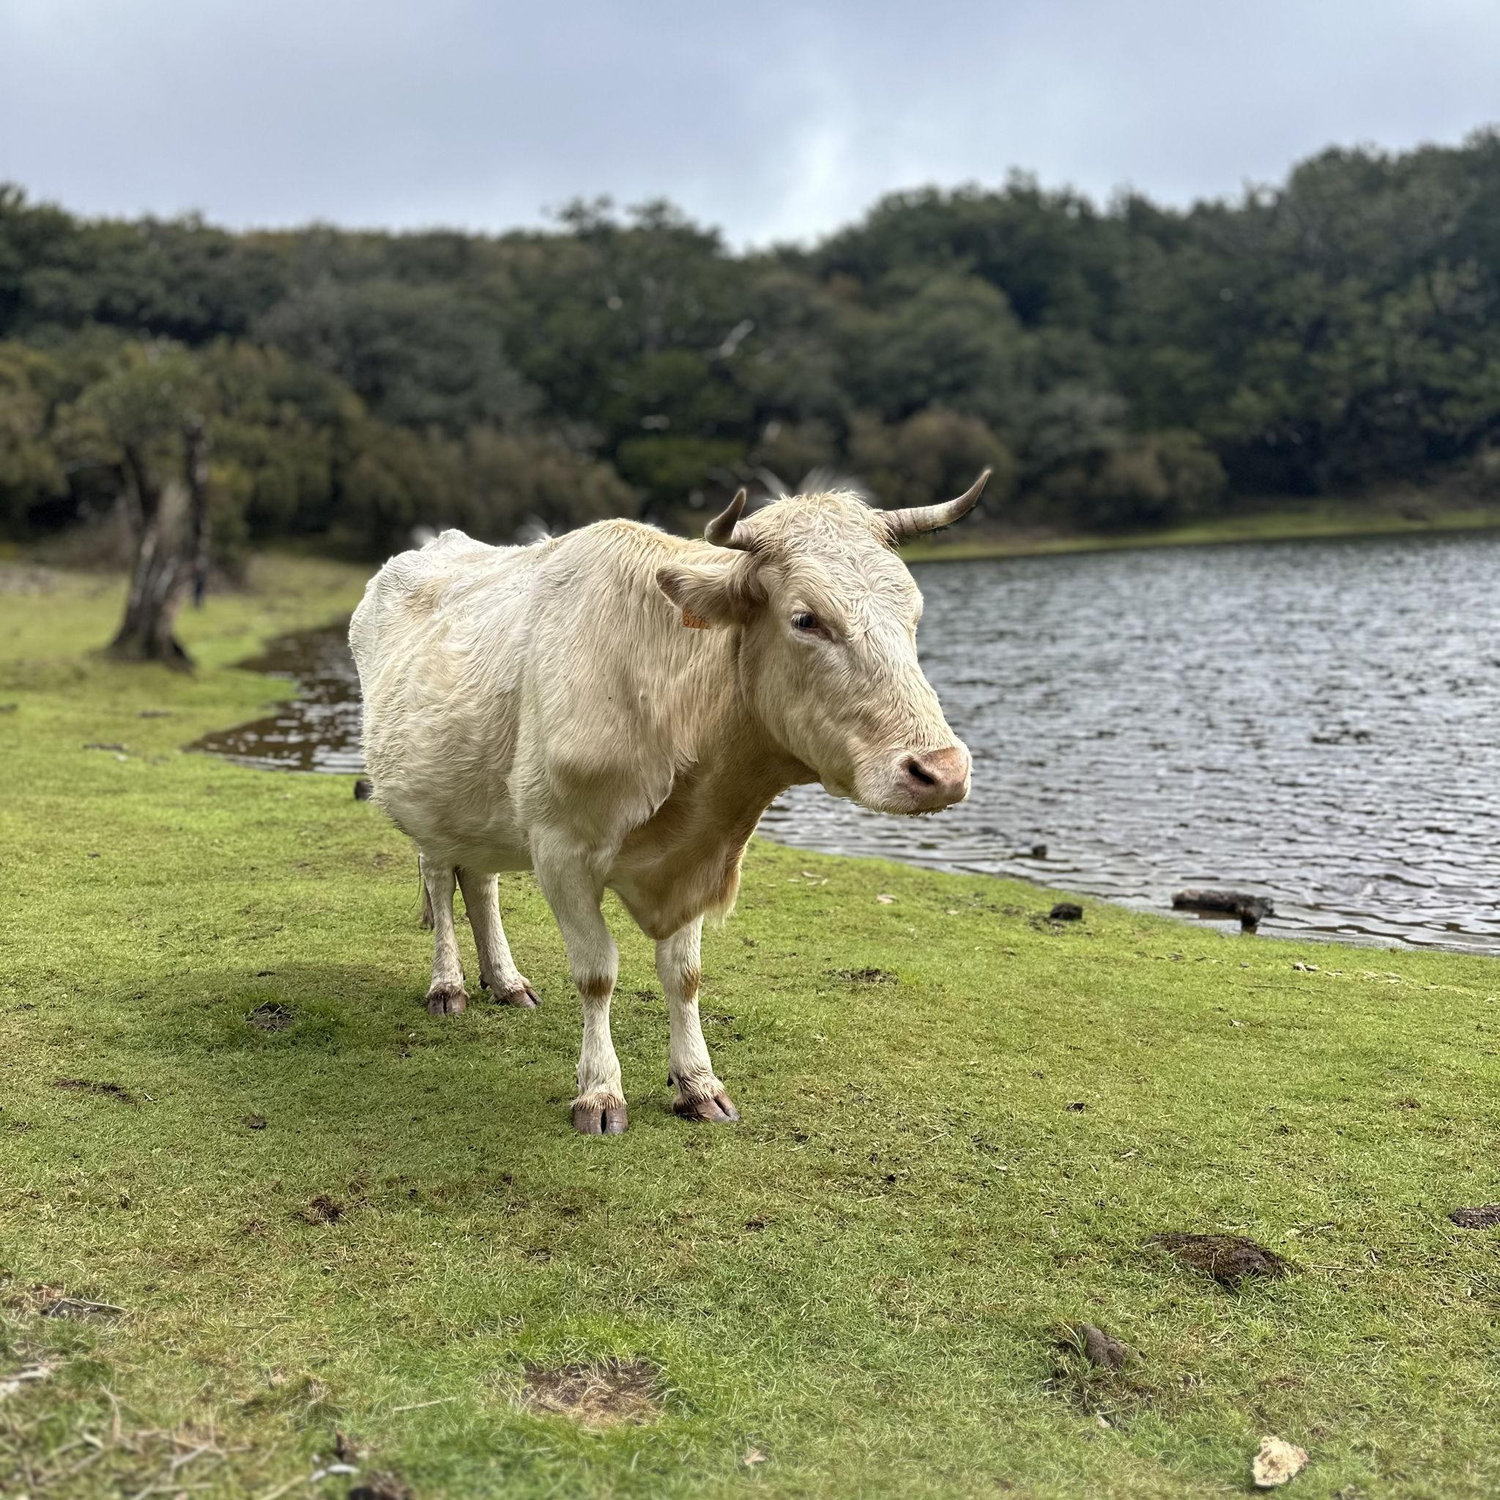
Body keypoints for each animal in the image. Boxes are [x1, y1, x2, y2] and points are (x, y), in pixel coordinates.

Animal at [348, 472, 988, 1135]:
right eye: (806, 619)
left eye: (914, 613)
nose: (941, 771)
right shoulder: (560, 850)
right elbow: (597, 972)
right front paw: (599, 1092)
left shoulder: (701, 856)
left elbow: (684, 975)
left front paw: (698, 1083)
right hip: (427, 805)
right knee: (440, 879)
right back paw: (447, 986)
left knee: (479, 882)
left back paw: (505, 981)